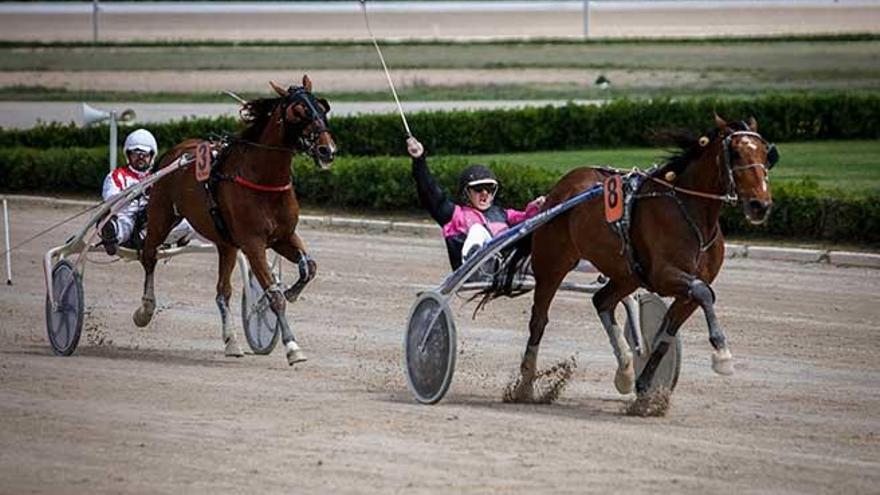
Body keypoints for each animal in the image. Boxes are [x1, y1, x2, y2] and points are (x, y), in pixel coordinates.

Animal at [135, 75, 336, 366]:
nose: (326, 149)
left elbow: (309, 267)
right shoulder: (253, 244)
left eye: (322, 108)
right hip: (161, 216)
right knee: (149, 256)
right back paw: (145, 310)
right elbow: (274, 296)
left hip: (226, 244)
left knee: (223, 291)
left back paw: (231, 342)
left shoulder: (284, 236)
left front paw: (292, 291)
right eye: (298, 111)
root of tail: (177, 151)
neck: (262, 179)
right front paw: (292, 346)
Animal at [516, 115, 776, 400]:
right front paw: (723, 355)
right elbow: (703, 293)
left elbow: (666, 335)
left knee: (602, 301)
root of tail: (560, 189)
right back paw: (525, 384)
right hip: (552, 263)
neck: (691, 214)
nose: (760, 205)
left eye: (767, 154)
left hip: (627, 274)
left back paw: (625, 372)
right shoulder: (664, 275)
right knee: (539, 320)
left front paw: (644, 388)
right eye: (736, 152)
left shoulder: (684, 290)